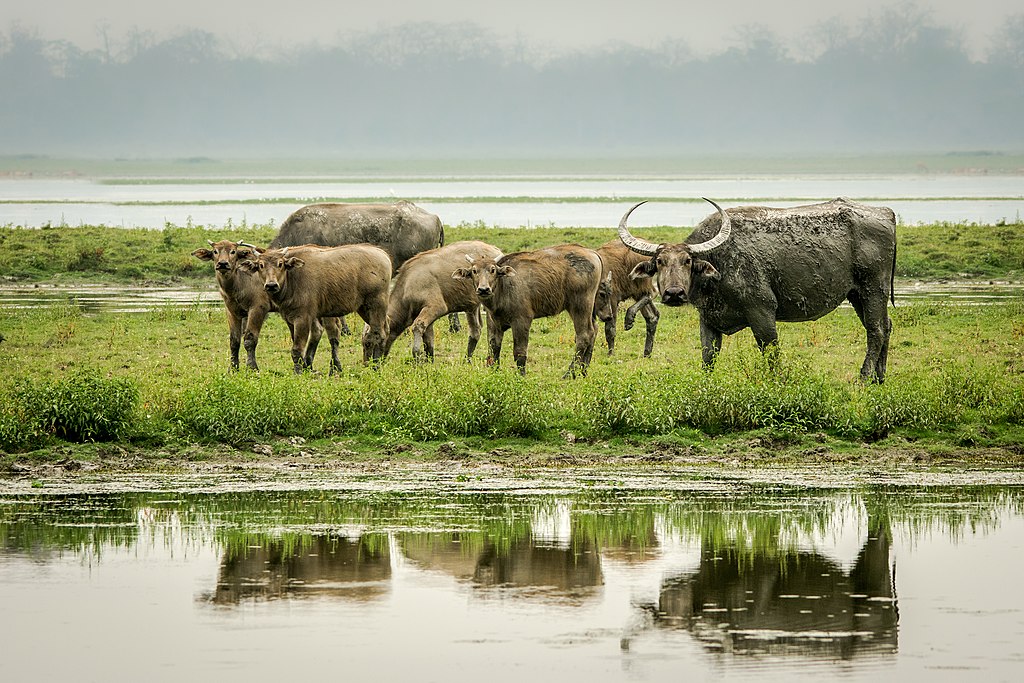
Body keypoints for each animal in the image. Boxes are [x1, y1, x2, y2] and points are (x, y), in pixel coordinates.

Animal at [188, 239, 339, 370]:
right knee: (317, 331)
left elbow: (250, 339)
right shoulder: (231, 311)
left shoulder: (258, 309)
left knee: (333, 334)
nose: (223, 264)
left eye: (233, 251)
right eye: (215, 251)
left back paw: (335, 368)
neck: (240, 283)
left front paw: (252, 368)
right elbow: (234, 341)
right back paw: (309, 366)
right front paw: (233, 369)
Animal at [241, 244, 393, 374]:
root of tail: (382, 254)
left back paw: (375, 366)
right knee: (384, 328)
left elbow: (297, 349)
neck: (292, 278)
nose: (271, 285)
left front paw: (298, 372)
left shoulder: (303, 317)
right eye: (261, 265)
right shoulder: (289, 319)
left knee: (378, 333)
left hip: (376, 304)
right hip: (364, 308)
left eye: (280, 264)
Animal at [452, 244, 610, 376]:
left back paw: (569, 374)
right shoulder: (493, 322)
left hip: (580, 306)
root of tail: (592, 253)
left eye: (493, 270)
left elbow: (519, 352)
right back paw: (583, 371)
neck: (503, 288)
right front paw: (494, 373)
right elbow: (494, 349)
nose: (484, 289)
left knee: (584, 335)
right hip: (588, 309)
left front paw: (521, 376)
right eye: (474, 271)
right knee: (594, 330)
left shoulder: (522, 321)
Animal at [614, 196, 897, 385]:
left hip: (873, 289)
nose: (674, 294)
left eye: (687, 261)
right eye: (660, 262)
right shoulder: (708, 319)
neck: (720, 264)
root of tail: (885, 212)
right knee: (886, 325)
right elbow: (708, 355)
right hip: (856, 295)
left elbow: (770, 351)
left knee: (876, 330)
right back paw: (880, 377)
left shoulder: (761, 311)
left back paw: (864, 377)